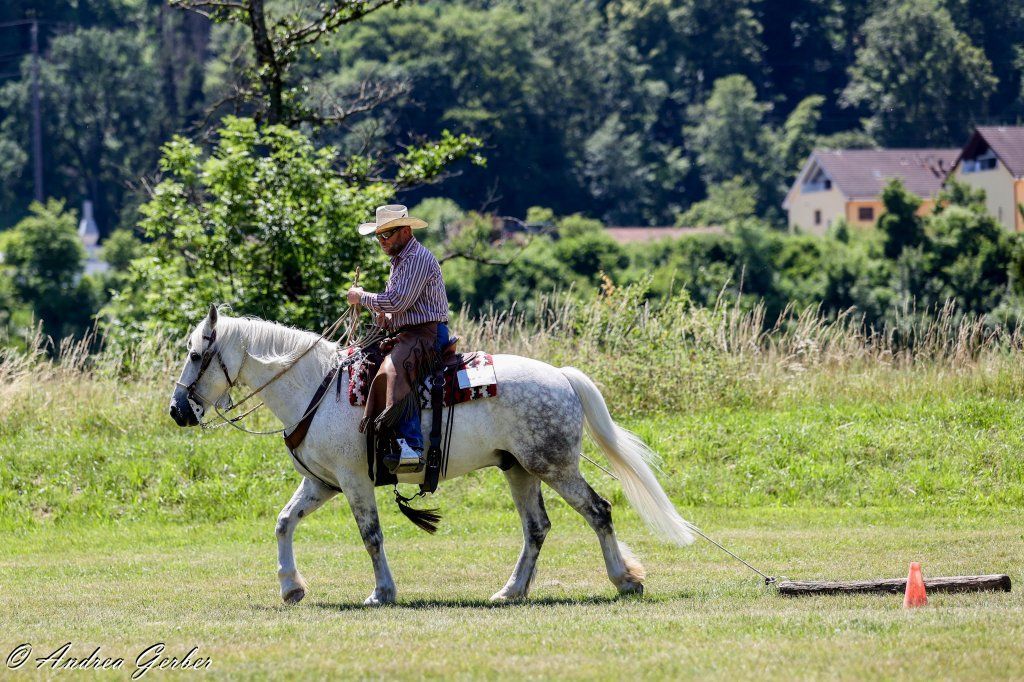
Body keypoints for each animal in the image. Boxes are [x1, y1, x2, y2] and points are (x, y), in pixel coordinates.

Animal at [169, 305, 695, 606]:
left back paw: (624, 580)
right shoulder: (322, 482)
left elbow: (371, 536)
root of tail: (563, 377)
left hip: (555, 466)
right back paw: (511, 591)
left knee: (598, 511)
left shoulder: (354, 481)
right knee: (537, 528)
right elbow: (283, 522)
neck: (318, 388)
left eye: (196, 355)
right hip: (519, 469)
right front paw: (290, 587)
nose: (177, 410)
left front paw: (382, 592)